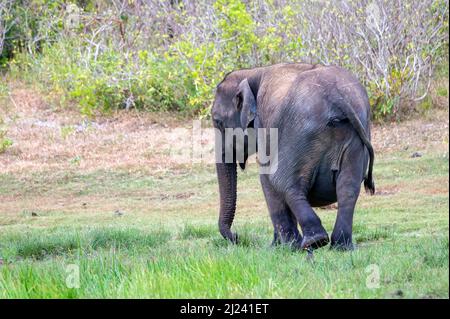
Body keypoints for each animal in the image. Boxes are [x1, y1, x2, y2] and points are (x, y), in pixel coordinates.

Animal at [213, 63, 374, 252]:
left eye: (217, 122)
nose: (237, 237)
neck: (252, 73)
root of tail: (335, 95)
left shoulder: (265, 127)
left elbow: (266, 178)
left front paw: (281, 249)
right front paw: (280, 247)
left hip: (300, 134)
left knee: (282, 181)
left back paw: (314, 241)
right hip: (356, 135)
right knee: (348, 188)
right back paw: (341, 247)